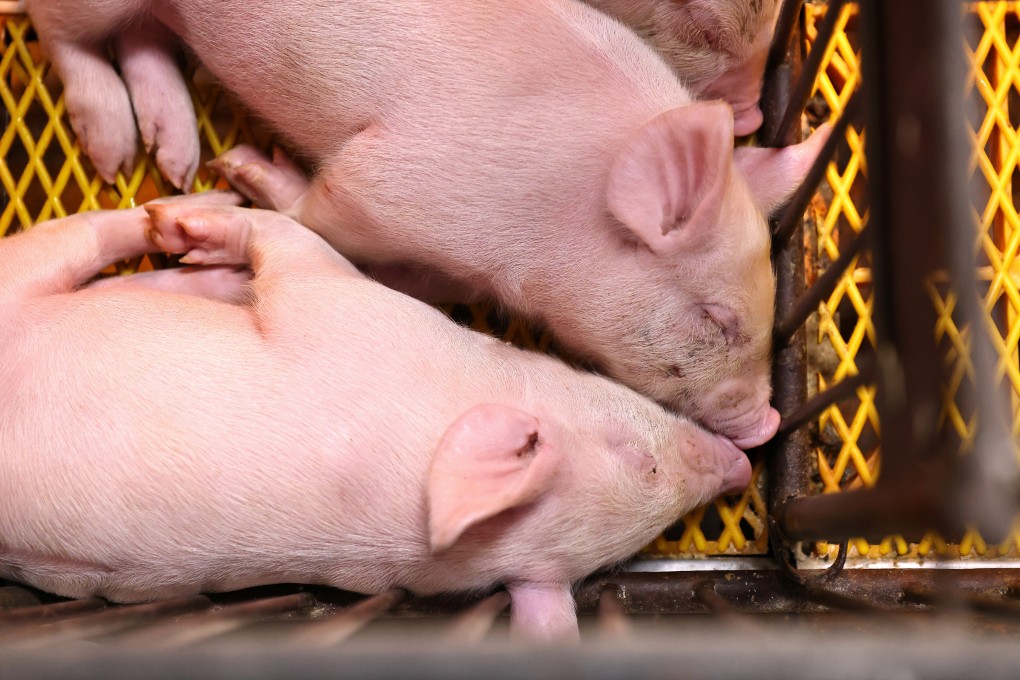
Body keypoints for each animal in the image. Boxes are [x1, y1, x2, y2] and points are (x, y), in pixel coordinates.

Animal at [0, 197, 751, 640]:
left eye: (634, 542)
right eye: (640, 460)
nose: (740, 465)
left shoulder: (334, 308)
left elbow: (287, 250)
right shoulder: (346, 308)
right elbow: (284, 238)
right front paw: (206, 234)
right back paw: (183, 225)